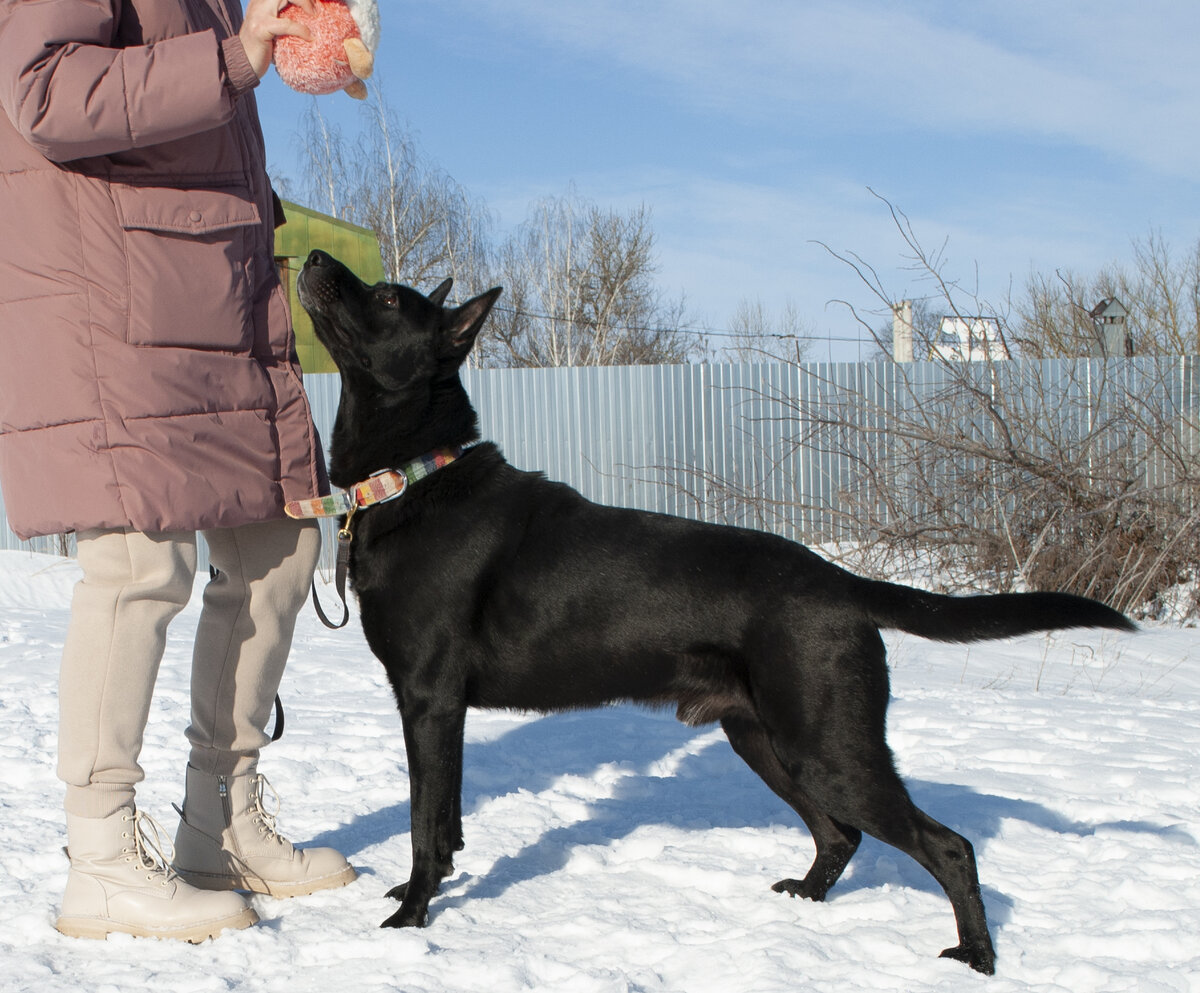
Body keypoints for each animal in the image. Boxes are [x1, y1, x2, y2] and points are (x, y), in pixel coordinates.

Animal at [297, 250, 1132, 978]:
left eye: (387, 299)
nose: (308, 256)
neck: (413, 478)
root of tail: (839, 581)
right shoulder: (443, 711)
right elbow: (444, 823)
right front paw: (424, 892)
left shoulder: (430, 700)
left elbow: (422, 822)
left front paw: (410, 918)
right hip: (764, 737)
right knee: (843, 832)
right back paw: (807, 898)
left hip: (827, 745)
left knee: (946, 844)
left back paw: (978, 957)